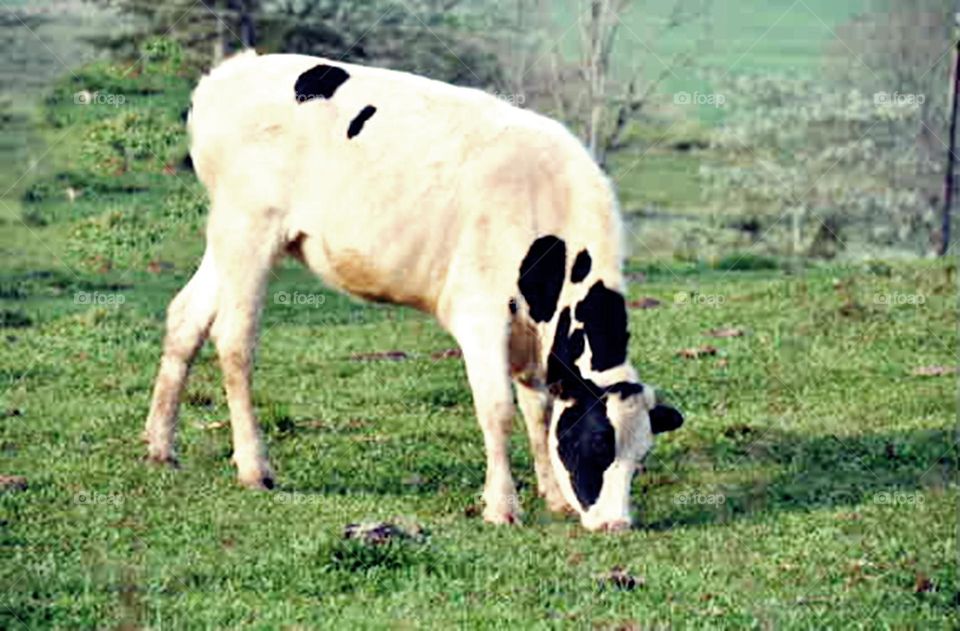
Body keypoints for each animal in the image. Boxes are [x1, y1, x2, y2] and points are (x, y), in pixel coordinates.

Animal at [143, 51, 683, 532]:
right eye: (597, 445)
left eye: (640, 458)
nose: (616, 524)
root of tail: (233, 71)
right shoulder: (481, 313)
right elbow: (498, 410)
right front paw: (502, 507)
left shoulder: (535, 336)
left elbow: (539, 410)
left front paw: (552, 495)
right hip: (251, 231)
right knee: (234, 340)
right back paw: (255, 468)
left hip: (227, 239)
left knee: (186, 317)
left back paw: (160, 446)